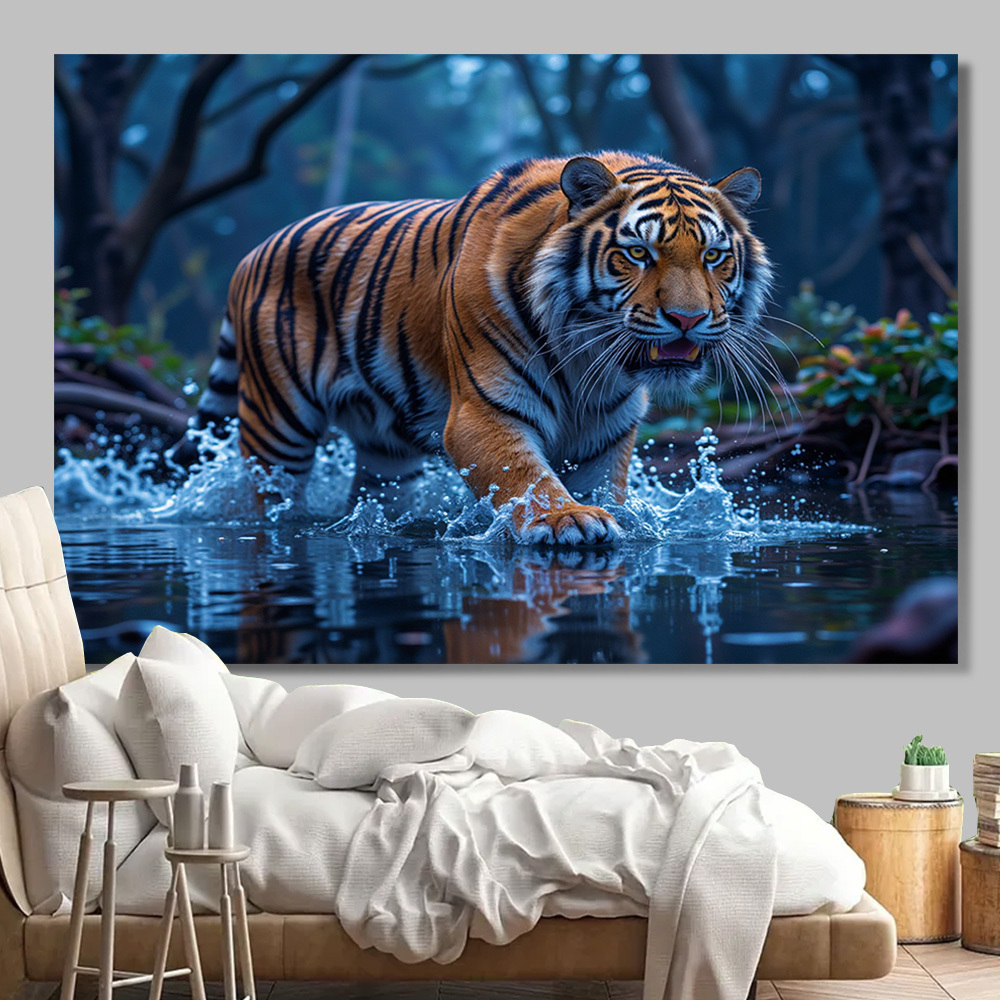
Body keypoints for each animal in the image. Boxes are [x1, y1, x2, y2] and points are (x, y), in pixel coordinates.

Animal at [187, 150, 773, 544]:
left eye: (715, 256)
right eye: (637, 253)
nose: (687, 319)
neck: (587, 356)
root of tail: (252, 251)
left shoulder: (604, 431)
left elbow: (603, 487)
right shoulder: (483, 413)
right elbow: (526, 475)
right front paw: (567, 520)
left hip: (386, 452)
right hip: (277, 423)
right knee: (268, 494)